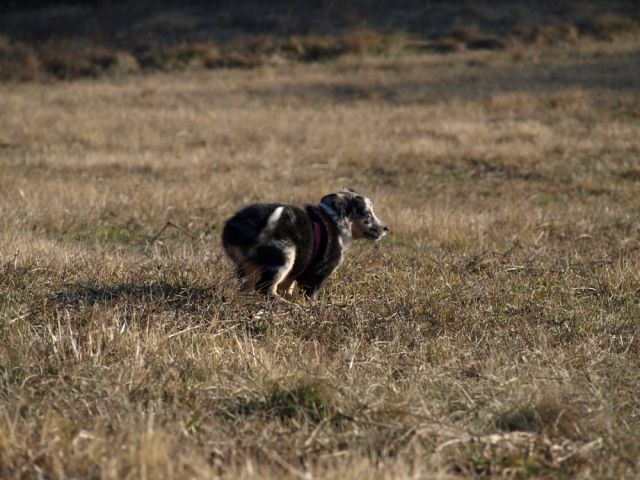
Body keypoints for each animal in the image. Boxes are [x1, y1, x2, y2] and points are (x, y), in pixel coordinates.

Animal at [222, 188, 388, 298]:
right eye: (368, 215)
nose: (386, 228)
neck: (335, 220)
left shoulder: (297, 268)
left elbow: (288, 285)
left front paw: (290, 297)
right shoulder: (317, 273)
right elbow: (310, 294)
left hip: (247, 266)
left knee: (247, 286)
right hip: (285, 254)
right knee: (265, 287)